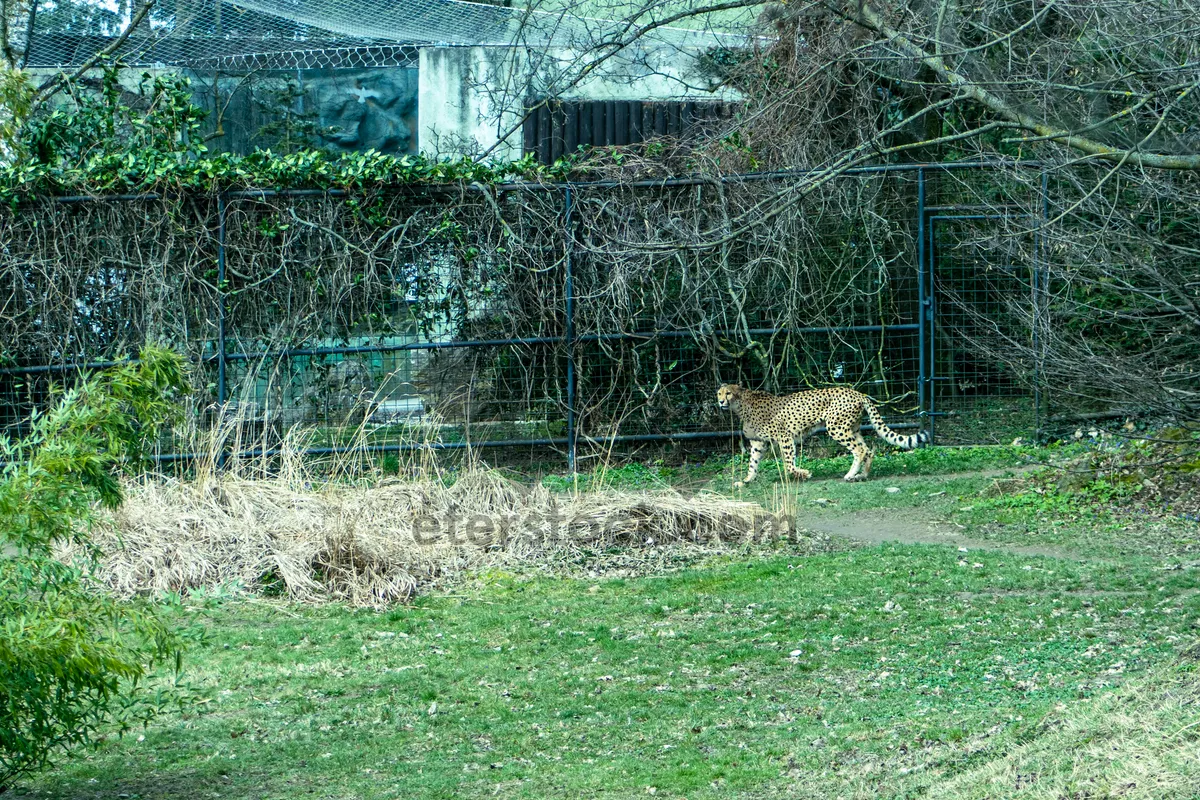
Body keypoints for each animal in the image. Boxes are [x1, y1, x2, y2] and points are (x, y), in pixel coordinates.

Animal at [715, 383, 931, 484]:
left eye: (728, 393)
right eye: (719, 393)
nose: (720, 401)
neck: (741, 405)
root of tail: (858, 393)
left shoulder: (784, 437)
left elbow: (788, 464)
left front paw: (804, 473)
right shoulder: (758, 443)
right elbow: (753, 464)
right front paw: (746, 481)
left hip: (837, 428)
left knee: (860, 451)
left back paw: (850, 474)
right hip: (852, 428)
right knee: (868, 450)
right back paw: (861, 475)